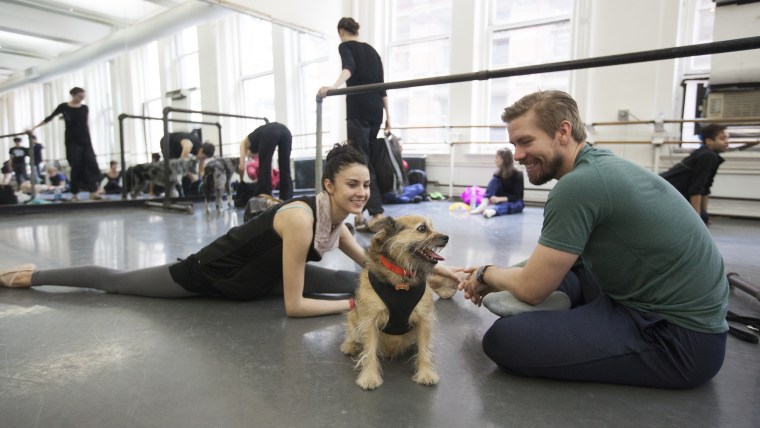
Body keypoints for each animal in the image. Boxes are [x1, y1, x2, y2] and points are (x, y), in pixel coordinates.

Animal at [342, 216, 448, 390]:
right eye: (422, 228)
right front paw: (369, 377)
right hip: (353, 316)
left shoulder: (423, 319)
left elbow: (424, 349)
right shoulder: (369, 321)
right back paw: (349, 346)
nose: (446, 237)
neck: (401, 275)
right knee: (352, 335)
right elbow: (369, 351)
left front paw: (426, 373)